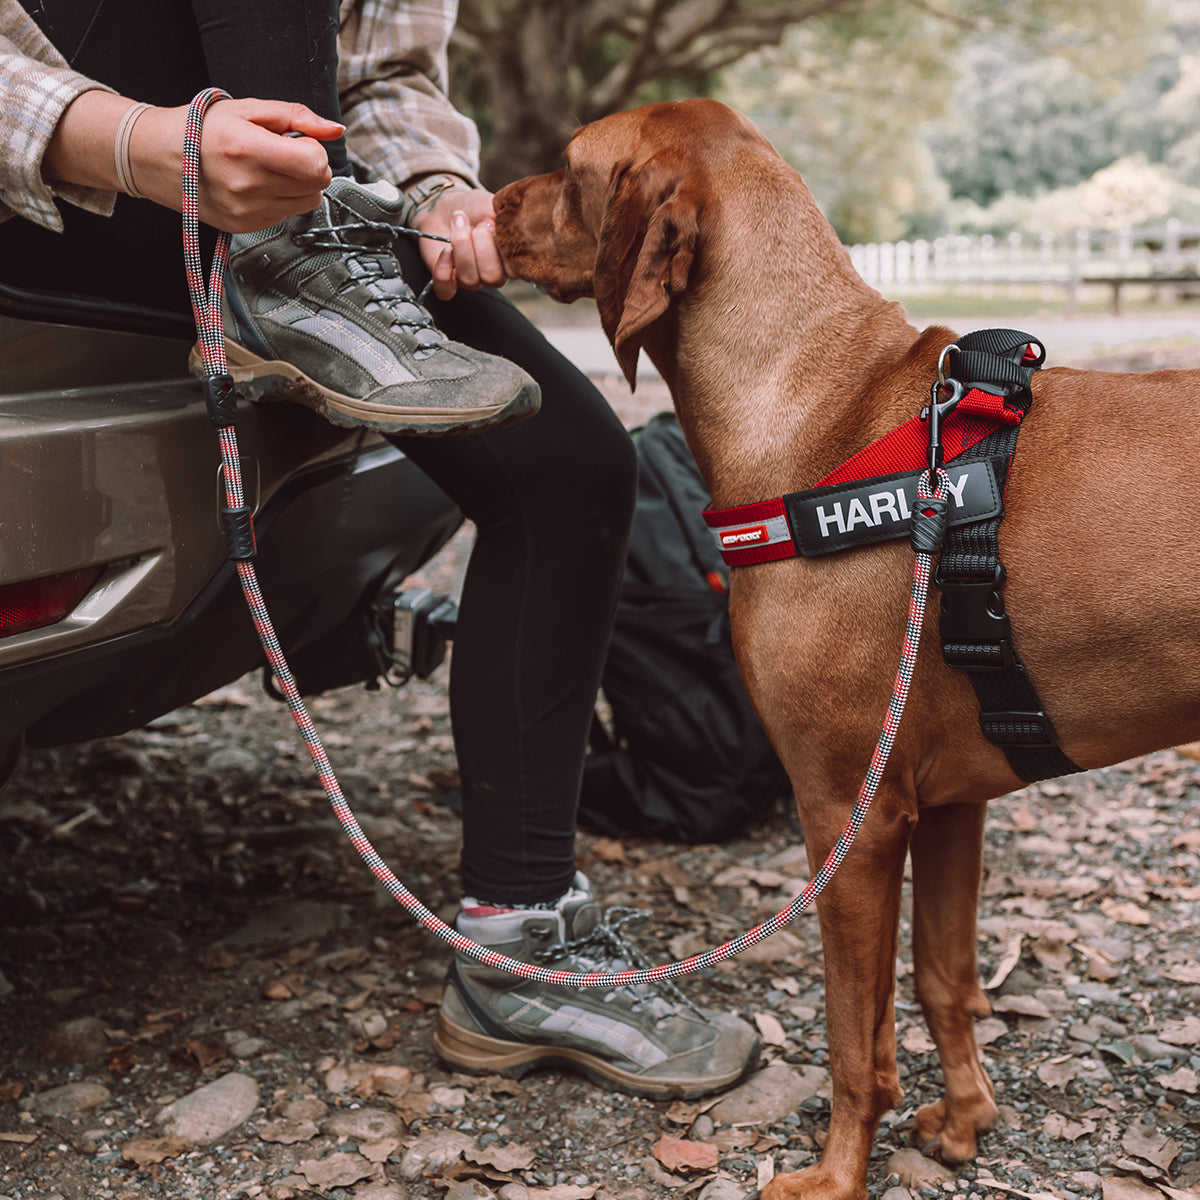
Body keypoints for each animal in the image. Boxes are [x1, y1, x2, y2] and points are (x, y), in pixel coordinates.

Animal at [489, 98, 1200, 1195]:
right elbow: (941, 980)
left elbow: (847, 1037)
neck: (818, 397)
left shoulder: (846, 819)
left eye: (567, 168)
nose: (477, 200)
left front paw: (835, 1174)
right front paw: (965, 1118)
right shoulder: (948, 805)